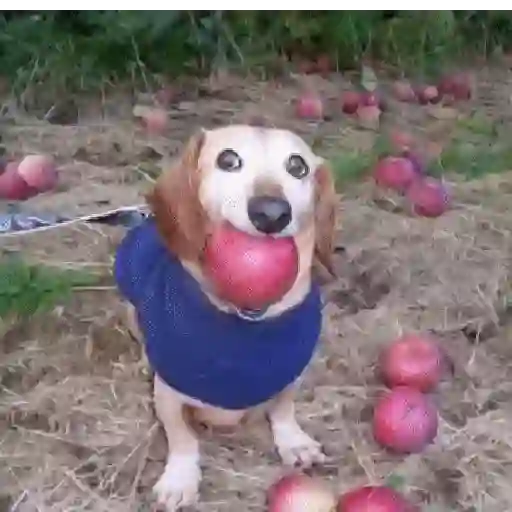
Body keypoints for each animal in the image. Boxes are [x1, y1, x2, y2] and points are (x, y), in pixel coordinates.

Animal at [114, 124, 337, 511]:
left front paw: (293, 441)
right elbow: (182, 437)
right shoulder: (169, 394)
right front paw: (181, 478)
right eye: (228, 160)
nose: (272, 213)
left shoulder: (290, 374)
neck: (244, 327)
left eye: (298, 166)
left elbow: (283, 409)